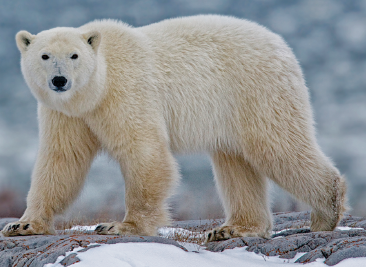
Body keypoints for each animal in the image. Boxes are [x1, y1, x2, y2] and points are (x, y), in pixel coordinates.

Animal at [2, 14, 346, 241]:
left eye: (74, 55)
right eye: (45, 55)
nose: (60, 80)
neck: (97, 87)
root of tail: (281, 45)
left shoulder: (127, 92)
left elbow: (144, 152)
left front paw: (120, 226)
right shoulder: (66, 114)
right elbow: (62, 161)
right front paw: (22, 224)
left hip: (256, 91)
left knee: (277, 146)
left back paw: (326, 211)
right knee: (236, 163)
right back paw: (233, 228)